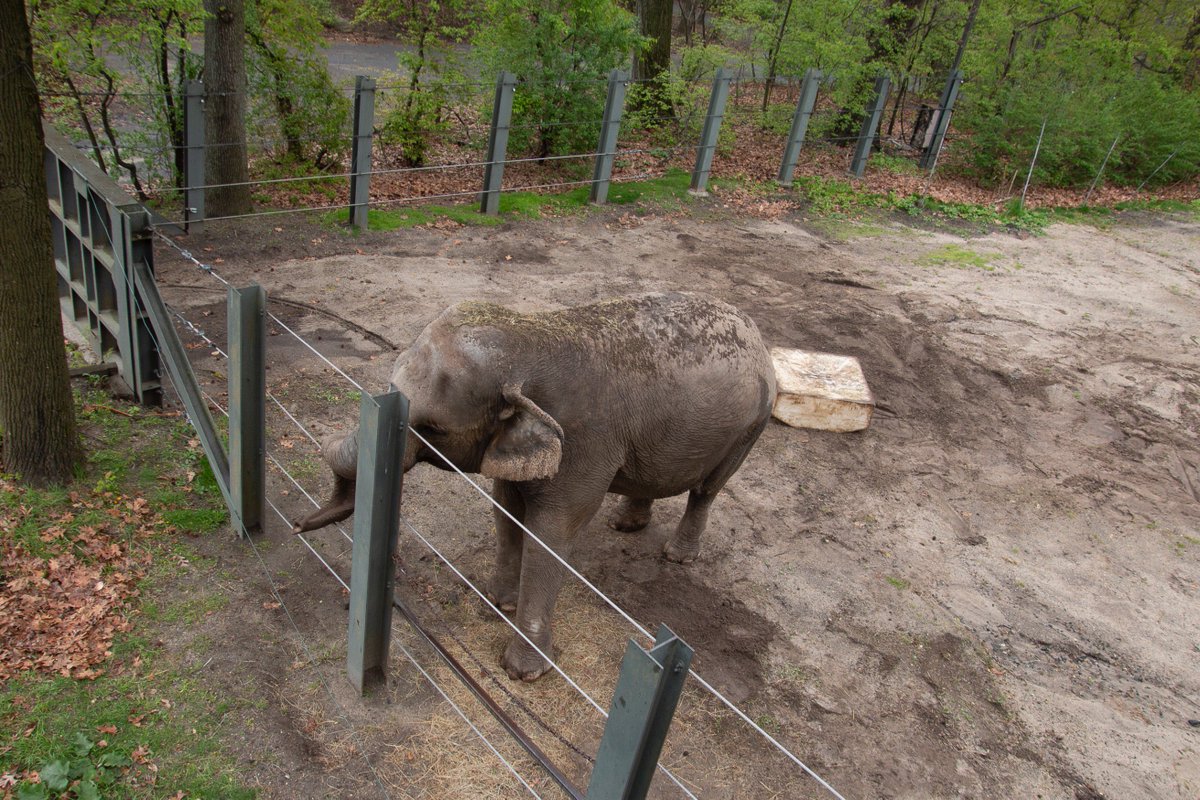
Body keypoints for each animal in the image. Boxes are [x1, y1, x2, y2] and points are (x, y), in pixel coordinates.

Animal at [294, 291, 772, 681]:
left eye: (433, 430)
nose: (297, 524)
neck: (529, 337)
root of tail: (752, 328)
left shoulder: (585, 442)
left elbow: (552, 532)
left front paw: (523, 672)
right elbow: (505, 509)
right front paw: (498, 603)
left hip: (751, 426)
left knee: (708, 489)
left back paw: (677, 556)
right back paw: (625, 524)